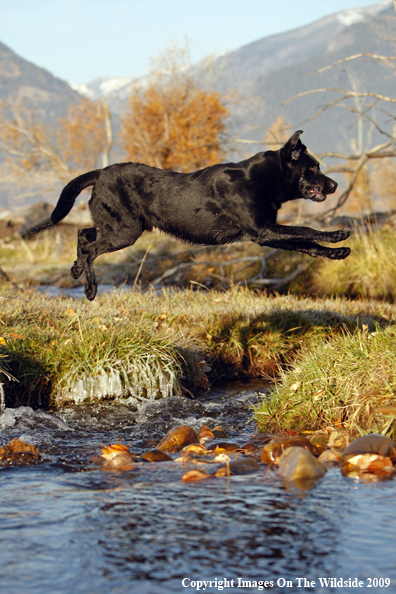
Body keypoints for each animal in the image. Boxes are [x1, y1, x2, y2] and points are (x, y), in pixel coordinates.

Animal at [31, 127, 350, 298]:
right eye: (313, 168)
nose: (335, 185)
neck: (264, 177)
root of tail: (100, 172)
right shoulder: (261, 231)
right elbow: (306, 230)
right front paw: (338, 235)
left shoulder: (267, 232)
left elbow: (307, 244)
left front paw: (337, 252)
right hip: (125, 231)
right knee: (89, 248)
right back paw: (89, 288)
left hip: (115, 226)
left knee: (83, 234)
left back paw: (75, 269)